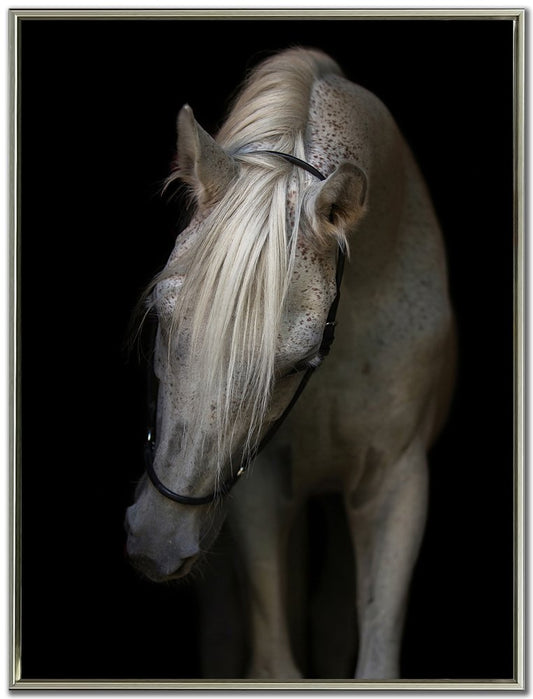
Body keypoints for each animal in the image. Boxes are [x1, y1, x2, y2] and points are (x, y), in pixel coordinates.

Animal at [125, 47, 455, 680]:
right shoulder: (260, 486)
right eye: (161, 315)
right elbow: (274, 661)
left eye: (300, 360)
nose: (157, 539)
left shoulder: (396, 482)